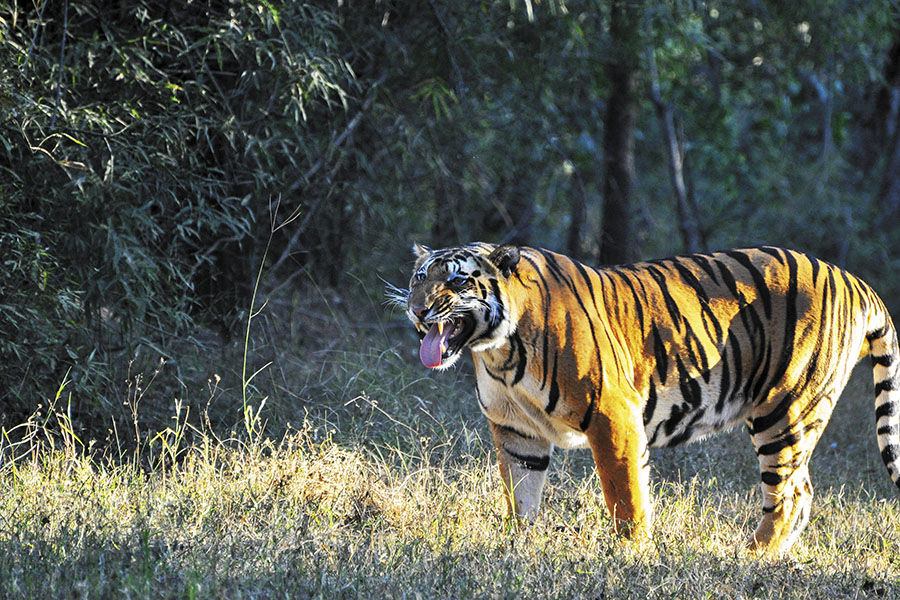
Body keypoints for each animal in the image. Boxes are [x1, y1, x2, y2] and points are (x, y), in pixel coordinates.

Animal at [388, 243, 900, 552]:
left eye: (457, 282)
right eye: (418, 277)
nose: (416, 309)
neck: (498, 350)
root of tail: (854, 280)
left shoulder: (611, 414)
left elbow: (625, 493)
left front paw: (632, 553)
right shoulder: (517, 431)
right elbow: (522, 494)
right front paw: (520, 547)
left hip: (785, 410)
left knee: (789, 495)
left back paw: (749, 556)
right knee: (804, 491)